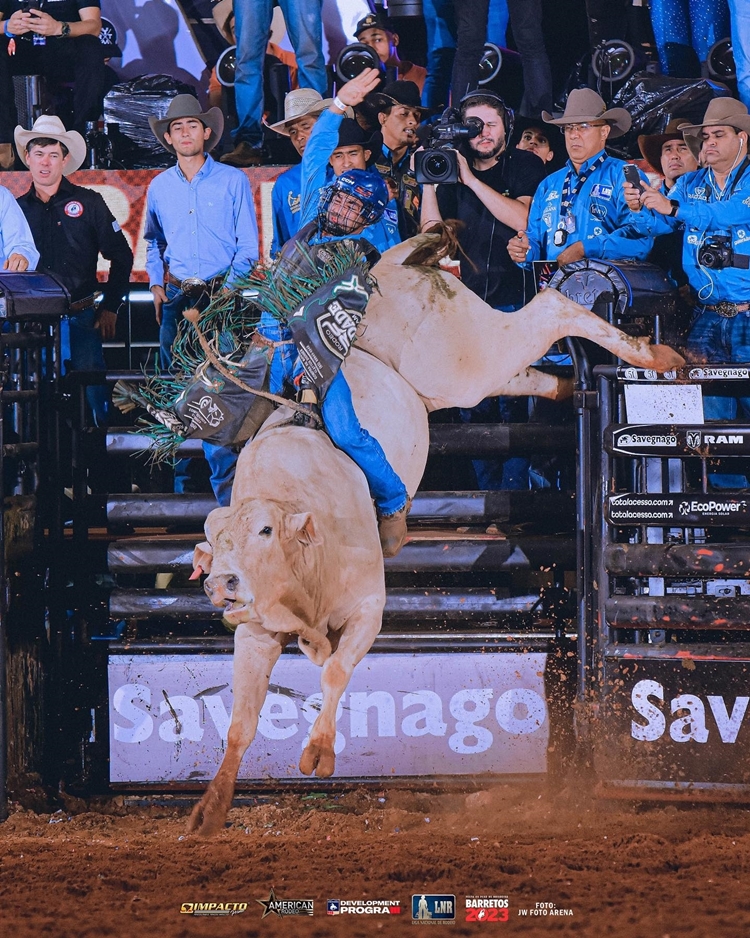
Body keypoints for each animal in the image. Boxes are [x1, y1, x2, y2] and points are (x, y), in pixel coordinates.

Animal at [188, 352, 428, 832]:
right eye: (213, 540)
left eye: (265, 530)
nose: (219, 583)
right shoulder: (255, 633)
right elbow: (241, 722)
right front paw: (212, 807)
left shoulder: (368, 610)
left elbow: (335, 671)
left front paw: (319, 751)